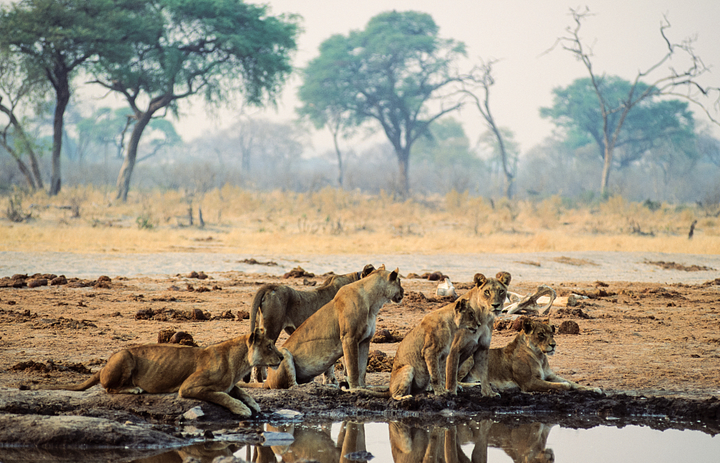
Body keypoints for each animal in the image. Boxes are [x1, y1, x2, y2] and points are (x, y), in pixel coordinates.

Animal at [38, 328, 282, 418]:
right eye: (270, 346)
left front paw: (254, 404)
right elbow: (222, 395)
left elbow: (241, 391)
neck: (241, 363)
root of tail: (102, 367)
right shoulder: (189, 387)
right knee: (109, 388)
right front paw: (242, 409)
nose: (280, 357)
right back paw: (134, 389)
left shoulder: (231, 384)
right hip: (124, 356)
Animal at [250, 264, 402, 392]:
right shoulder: (348, 336)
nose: (403, 291)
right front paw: (342, 383)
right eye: (399, 281)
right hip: (272, 328)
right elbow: (348, 364)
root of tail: (269, 287)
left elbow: (346, 366)